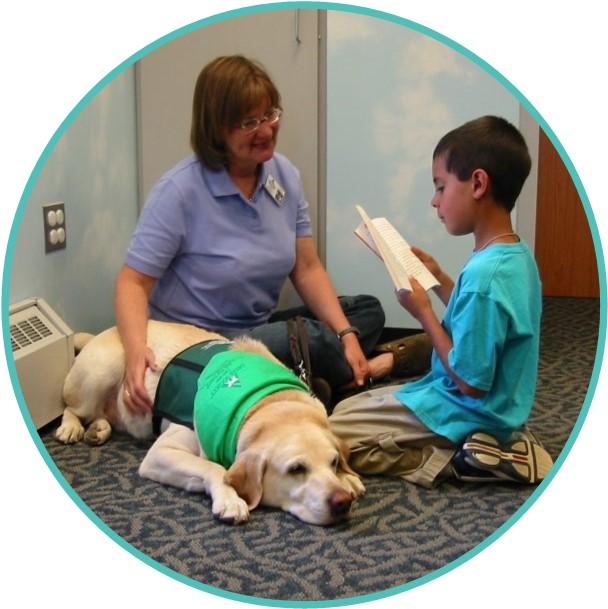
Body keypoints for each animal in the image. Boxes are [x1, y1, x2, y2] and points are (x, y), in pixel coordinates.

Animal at [54, 320, 364, 524]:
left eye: (333, 462)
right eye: (296, 469)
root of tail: (102, 332)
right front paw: (230, 499)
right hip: (101, 371)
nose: (342, 502)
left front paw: (348, 477)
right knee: (71, 406)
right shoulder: (160, 454)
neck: (266, 402)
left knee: (101, 414)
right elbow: (214, 467)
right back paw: (71, 427)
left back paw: (98, 429)